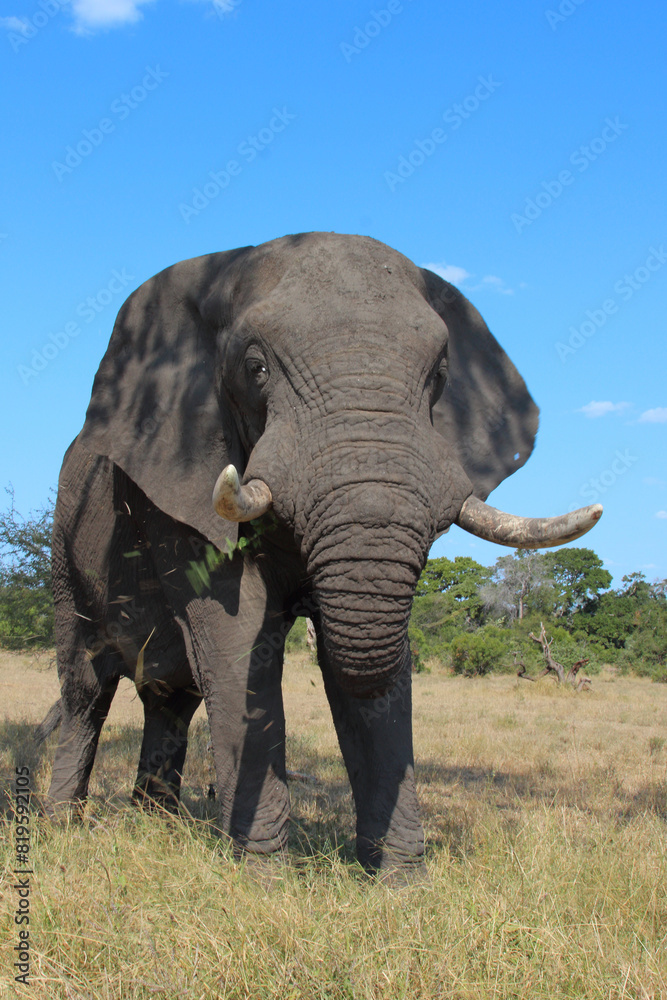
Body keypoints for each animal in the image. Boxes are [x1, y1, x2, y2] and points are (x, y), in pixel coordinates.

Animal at [44, 232, 601, 876]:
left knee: (171, 697)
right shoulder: (174, 489)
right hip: (66, 549)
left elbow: (362, 666)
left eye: (439, 375)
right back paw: (65, 825)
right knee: (86, 688)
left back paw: (157, 825)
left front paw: (401, 881)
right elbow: (238, 639)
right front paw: (264, 877)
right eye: (256, 369)